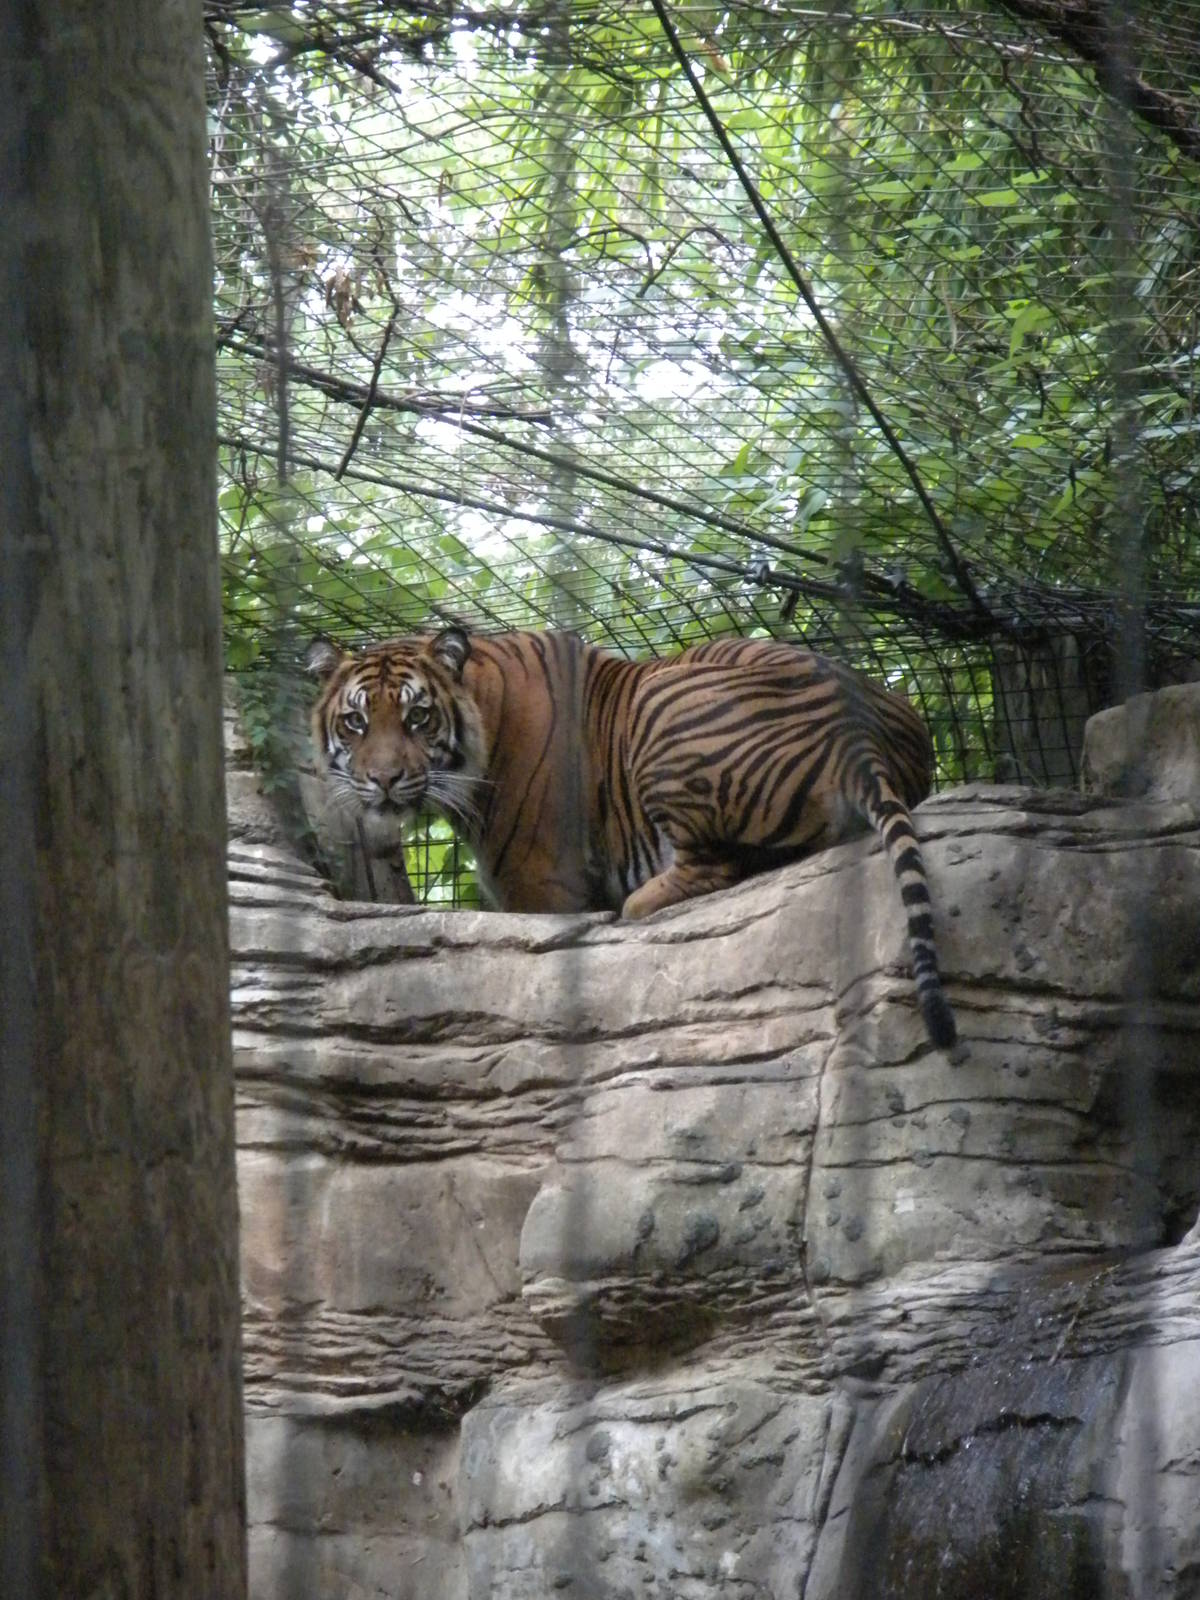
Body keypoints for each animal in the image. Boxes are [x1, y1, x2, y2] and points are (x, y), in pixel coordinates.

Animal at [305, 626, 957, 1049]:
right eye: (355, 722)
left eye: (417, 717)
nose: (384, 780)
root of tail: (864, 742)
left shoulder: (540, 885)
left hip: (659, 700)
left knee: (712, 866)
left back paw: (636, 904)